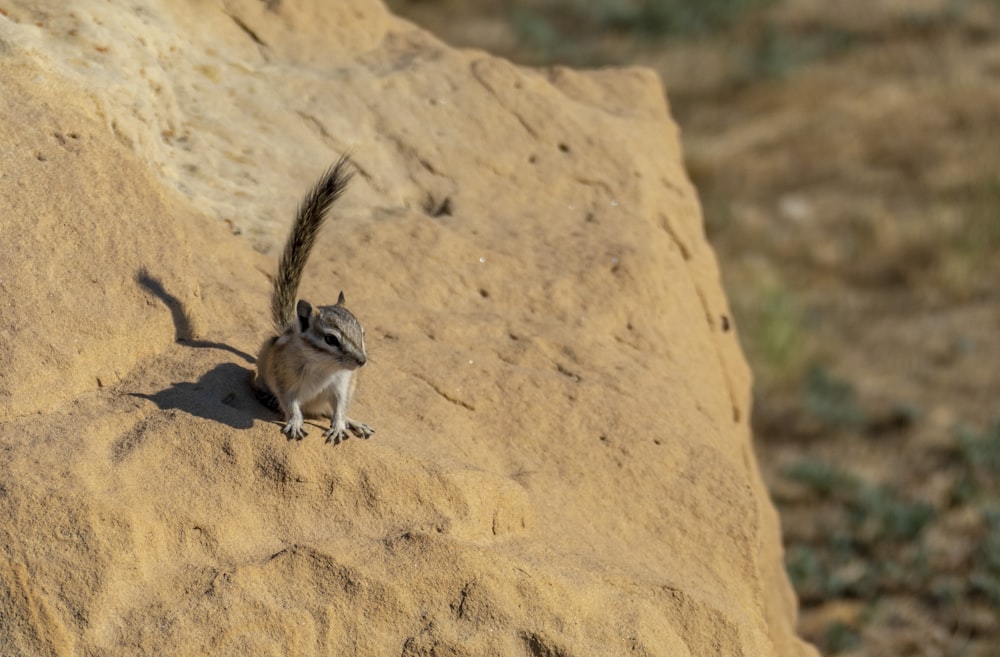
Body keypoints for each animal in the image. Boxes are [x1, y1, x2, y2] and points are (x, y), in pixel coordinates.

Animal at [250, 154, 376, 444]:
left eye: (362, 333)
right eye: (331, 339)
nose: (362, 362)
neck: (324, 367)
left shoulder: (342, 385)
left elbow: (339, 408)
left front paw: (340, 425)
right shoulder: (286, 381)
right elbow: (291, 404)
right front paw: (295, 423)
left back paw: (356, 424)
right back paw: (266, 397)